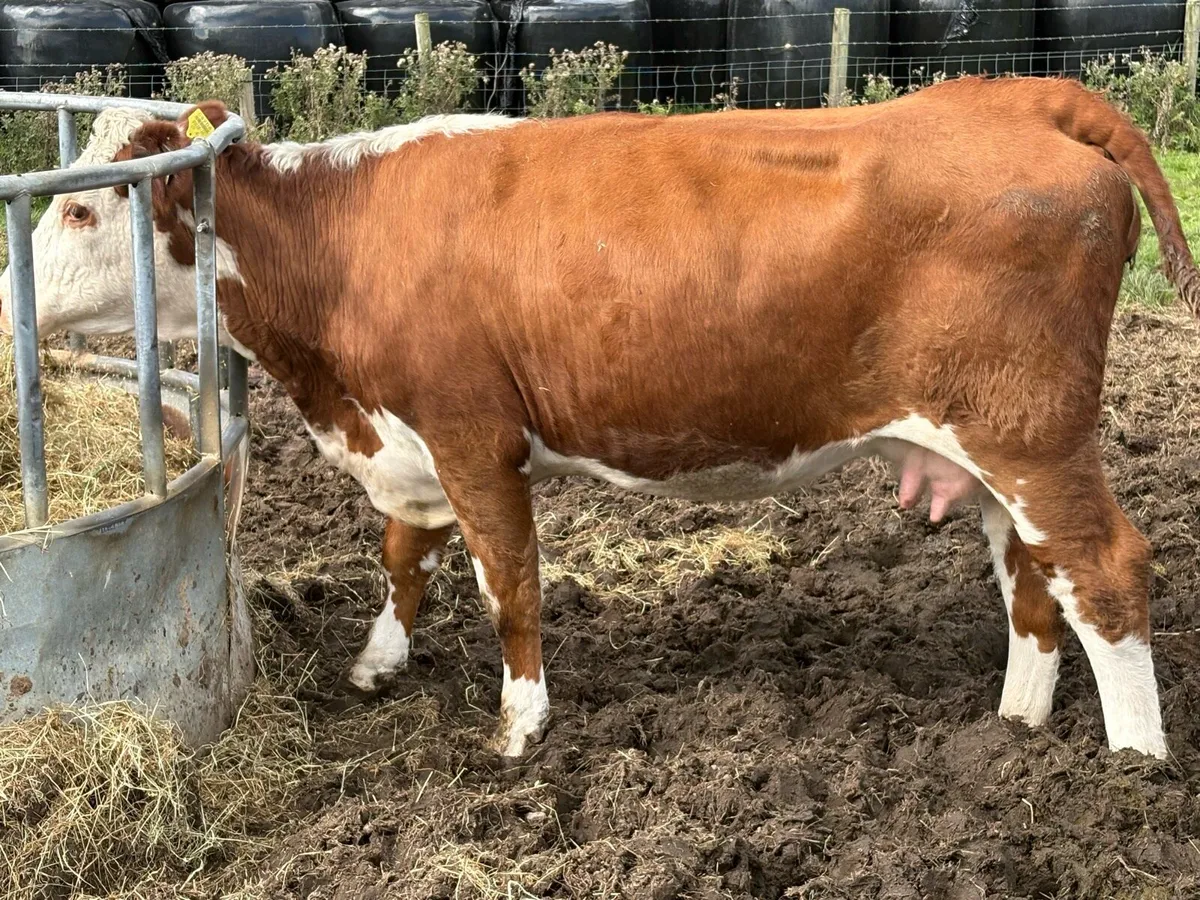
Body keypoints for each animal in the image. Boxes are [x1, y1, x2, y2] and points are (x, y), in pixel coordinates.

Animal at [3, 76, 1196, 760]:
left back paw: (1131, 769)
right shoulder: (407, 438)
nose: (8, 303)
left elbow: (507, 583)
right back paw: (1014, 730)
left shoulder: (473, 434)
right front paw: (379, 662)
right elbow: (404, 556)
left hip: (1031, 430)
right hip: (992, 445)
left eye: (80, 209)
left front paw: (521, 726)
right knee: (1033, 576)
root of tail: (1016, 97)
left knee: (1105, 570)